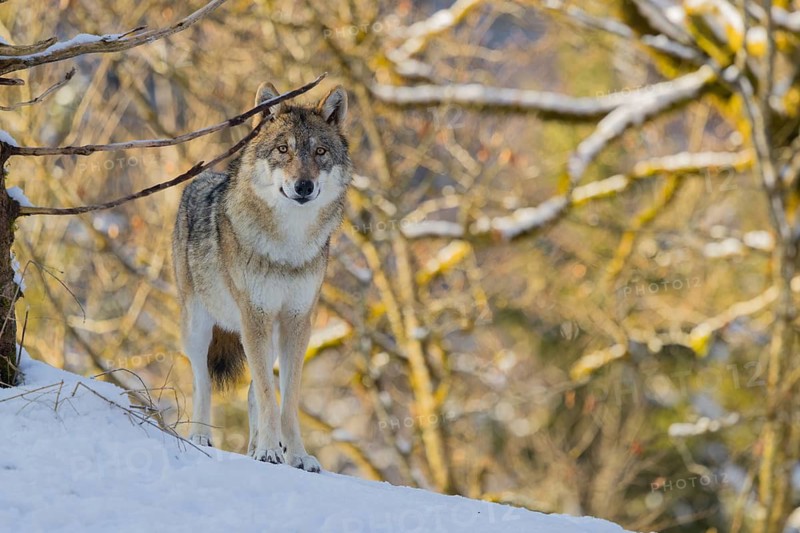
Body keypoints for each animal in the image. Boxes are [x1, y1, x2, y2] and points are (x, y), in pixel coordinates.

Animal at [172, 82, 351, 472]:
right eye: (283, 149)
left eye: (319, 152)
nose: (304, 186)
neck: (289, 245)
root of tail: (202, 178)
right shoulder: (255, 314)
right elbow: (269, 396)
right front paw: (270, 451)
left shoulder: (298, 321)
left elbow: (286, 399)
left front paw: (295, 455)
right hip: (199, 328)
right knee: (202, 382)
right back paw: (200, 437)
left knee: (255, 389)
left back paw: (254, 446)